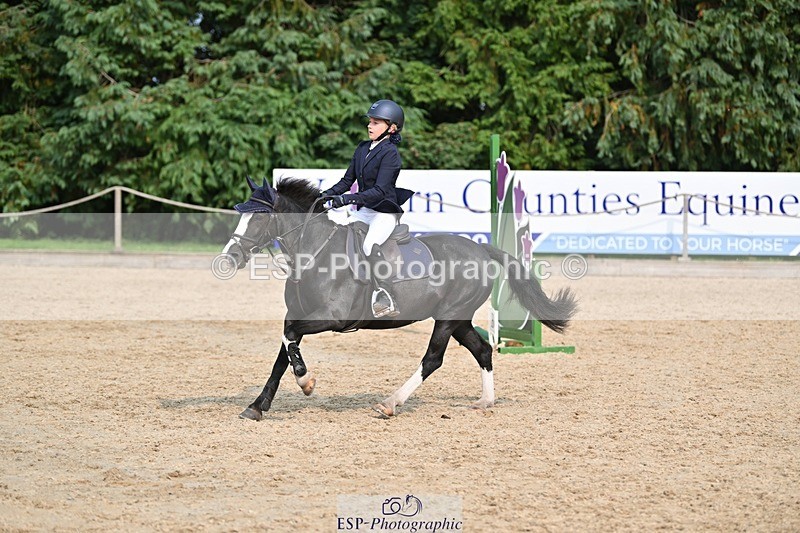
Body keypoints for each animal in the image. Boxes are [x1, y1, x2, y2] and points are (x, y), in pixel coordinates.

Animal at [221, 177, 577, 420]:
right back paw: (485, 401)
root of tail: (480, 248)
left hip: (449, 317)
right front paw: (258, 405)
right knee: (483, 350)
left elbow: (291, 336)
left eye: (260, 218)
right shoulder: (297, 313)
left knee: (433, 359)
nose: (229, 258)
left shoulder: (331, 317)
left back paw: (390, 403)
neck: (314, 253)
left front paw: (306, 381)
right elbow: (284, 350)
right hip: (458, 318)